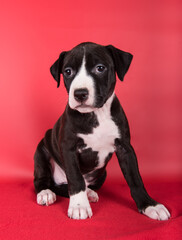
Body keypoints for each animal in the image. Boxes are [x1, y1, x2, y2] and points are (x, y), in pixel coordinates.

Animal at [33, 42, 171, 220]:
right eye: (68, 71)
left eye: (100, 68)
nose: (80, 93)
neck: (96, 114)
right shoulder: (68, 148)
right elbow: (75, 179)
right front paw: (79, 206)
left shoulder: (125, 148)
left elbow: (135, 179)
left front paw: (150, 205)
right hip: (41, 152)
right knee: (44, 180)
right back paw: (46, 193)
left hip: (102, 174)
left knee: (75, 185)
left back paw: (89, 192)